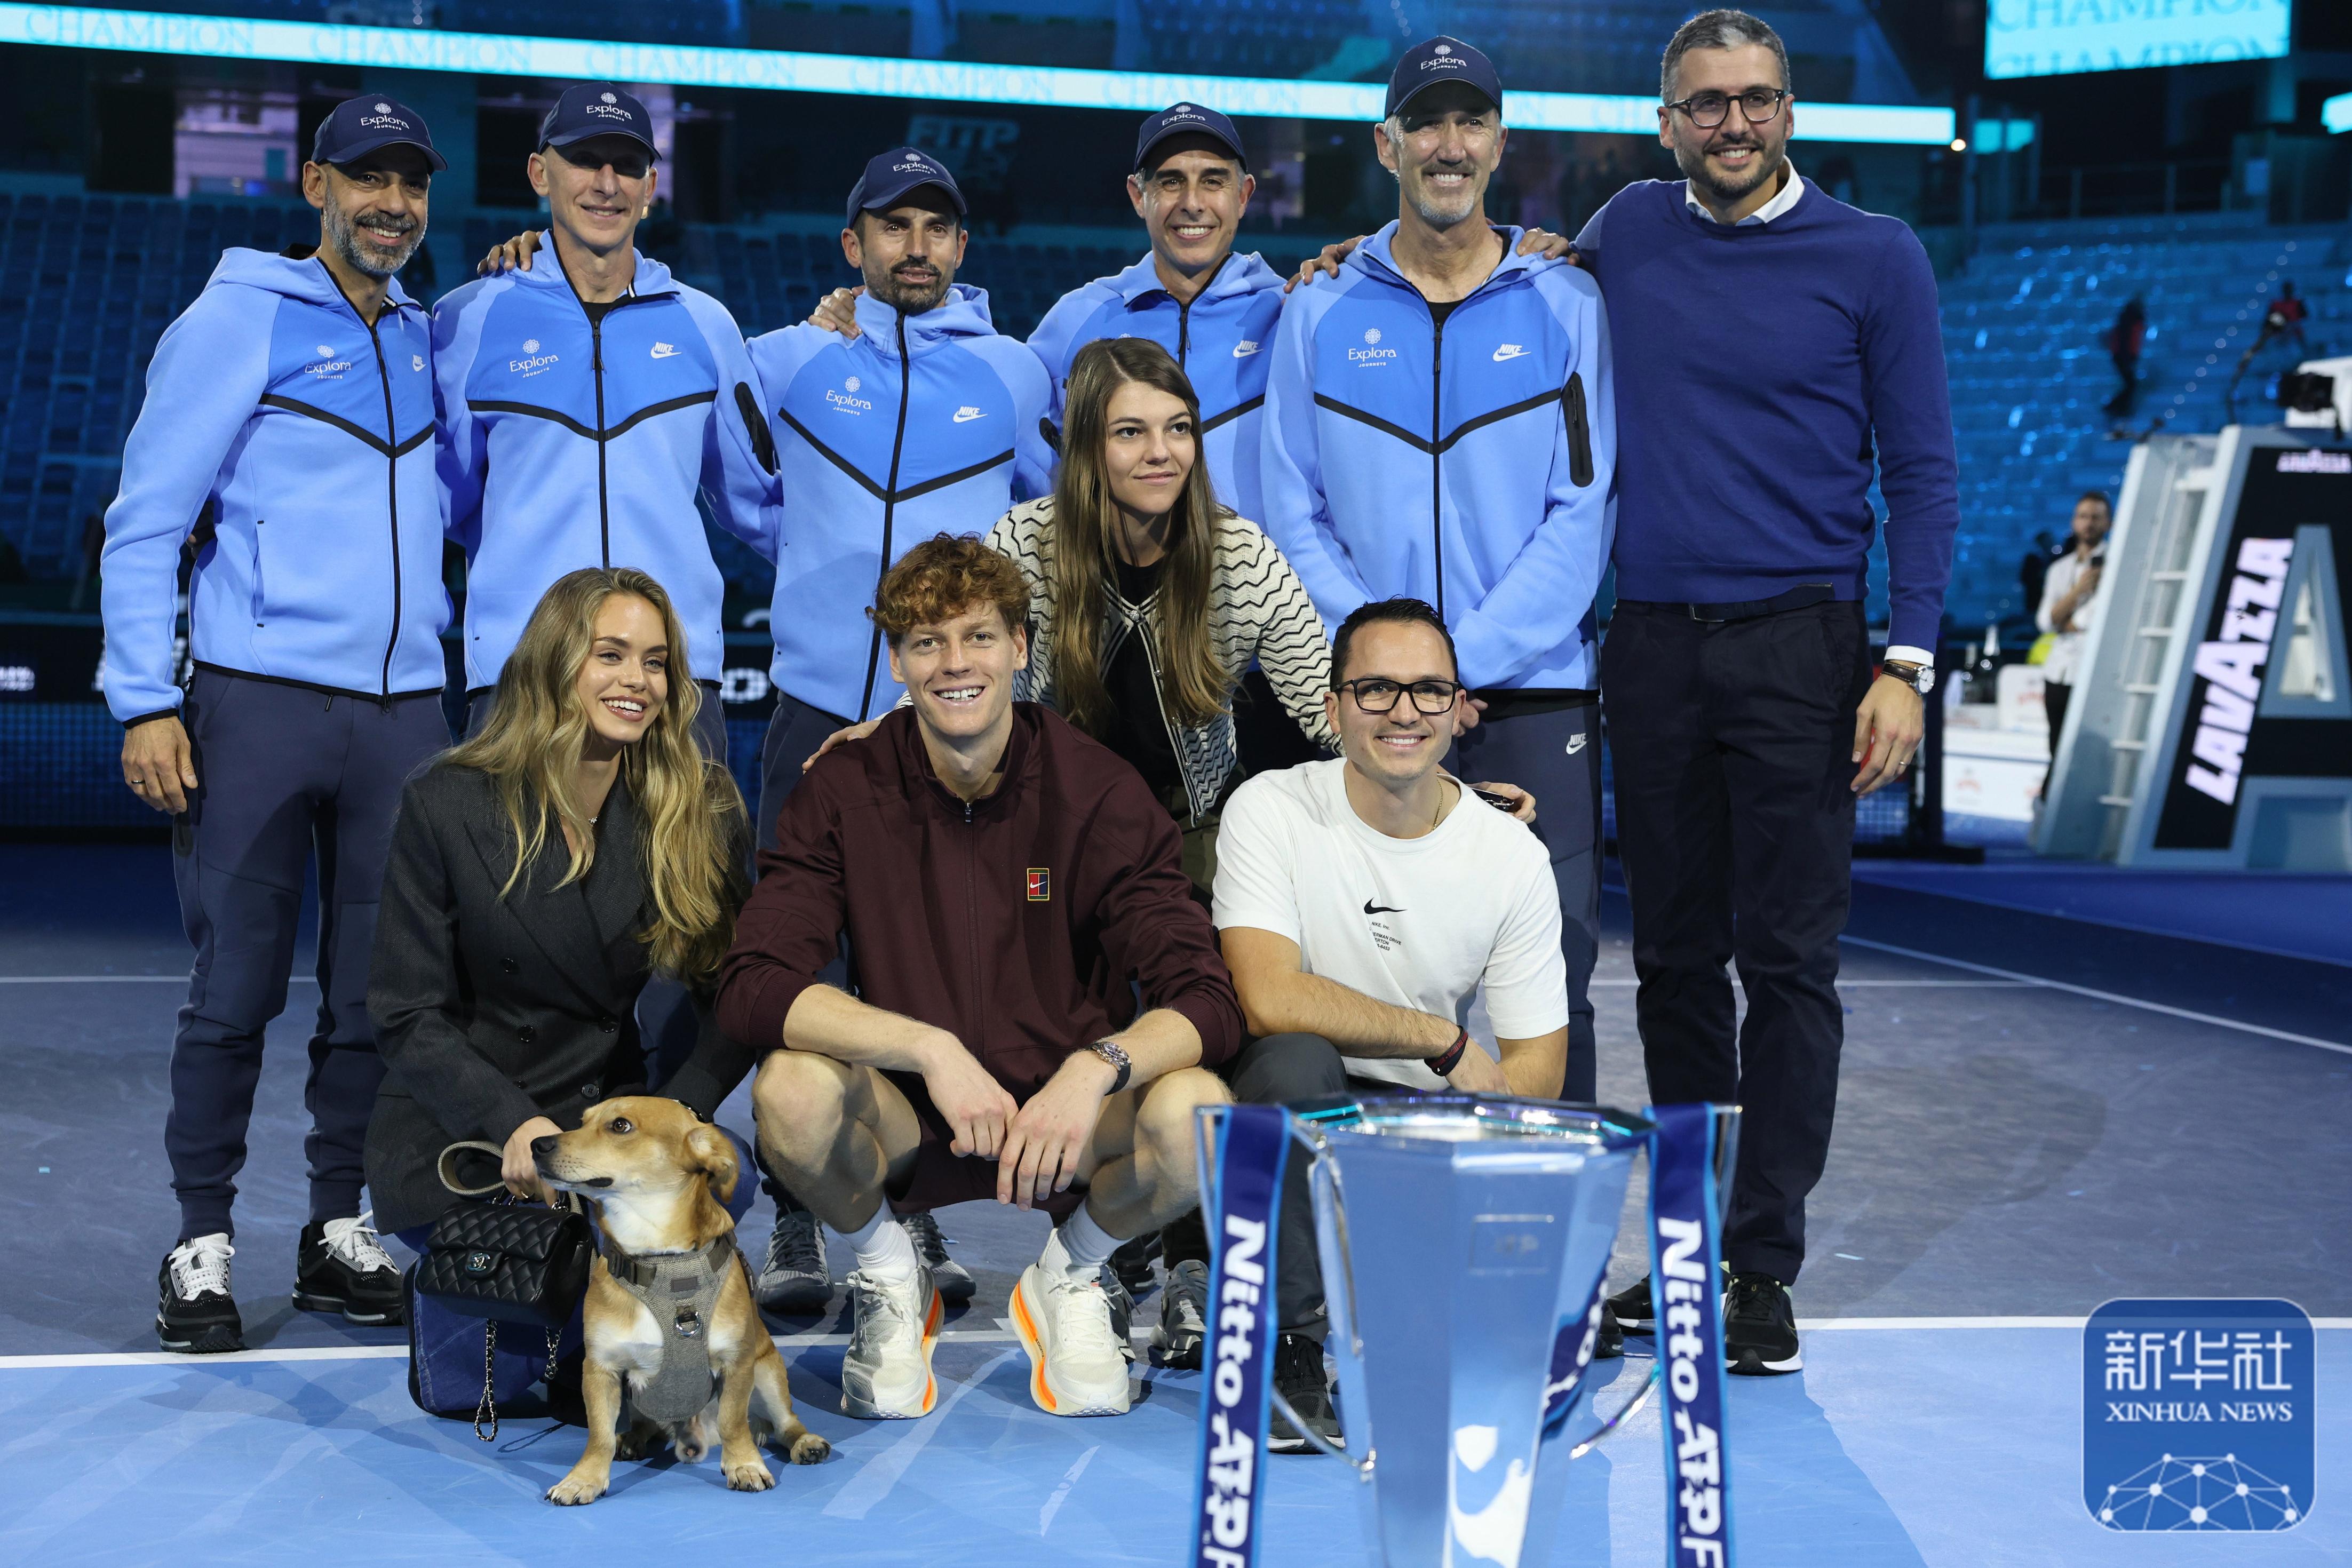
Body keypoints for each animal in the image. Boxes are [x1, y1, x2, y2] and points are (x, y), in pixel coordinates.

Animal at [533, 1097, 830, 1504]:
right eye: (582, 1121)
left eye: (621, 1126)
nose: (537, 1144)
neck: (660, 1258)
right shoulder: (600, 1368)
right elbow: (598, 1436)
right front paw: (583, 1479)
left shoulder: (737, 1363)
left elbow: (733, 1421)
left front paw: (745, 1465)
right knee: (644, 1427)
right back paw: (631, 1440)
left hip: (768, 1371)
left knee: (784, 1424)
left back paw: (805, 1443)